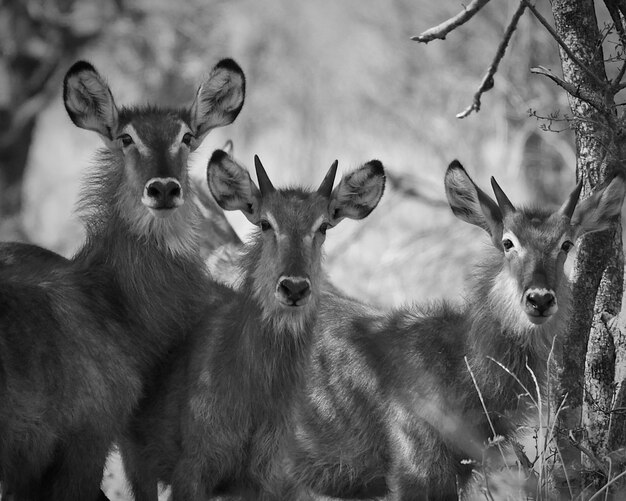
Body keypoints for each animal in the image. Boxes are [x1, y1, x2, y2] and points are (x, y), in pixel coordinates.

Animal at [278, 162, 624, 498]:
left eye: (566, 243)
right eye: (508, 242)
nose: (540, 299)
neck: (460, 368)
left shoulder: (459, 471)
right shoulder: (416, 467)